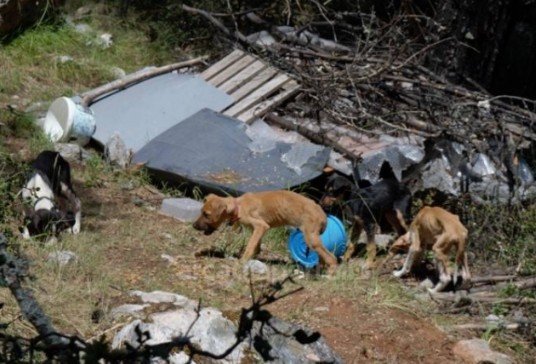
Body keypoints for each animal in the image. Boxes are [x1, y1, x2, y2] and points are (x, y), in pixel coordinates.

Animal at [192, 191, 336, 272]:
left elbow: (250, 246)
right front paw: (253, 258)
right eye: (201, 211)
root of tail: (323, 215)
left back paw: (330, 274)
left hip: (311, 238)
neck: (238, 205)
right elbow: (256, 246)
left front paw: (242, 261)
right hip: (314, 239)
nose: (194, 226)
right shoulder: (257, 229)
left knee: (332, 258)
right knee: (324, 256)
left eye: (206, 214)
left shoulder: (260, 225)